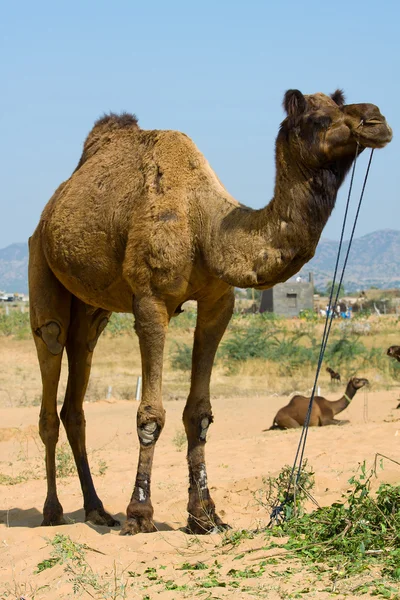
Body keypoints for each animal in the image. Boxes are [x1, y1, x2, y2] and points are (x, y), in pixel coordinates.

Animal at [29, 88, 392, 536]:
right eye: (320, 119)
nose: (377, 120)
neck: (205, 226)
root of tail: (49, 213)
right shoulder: (149, 300)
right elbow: (150, 415)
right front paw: (140, 513)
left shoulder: (220, 302)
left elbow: (199, 414)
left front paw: (205, 515)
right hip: (41, 265)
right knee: (50, 352)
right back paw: (53, 511)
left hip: (92, 307)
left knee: (78, 375)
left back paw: (97, 509)